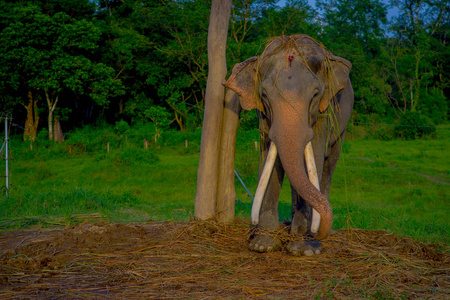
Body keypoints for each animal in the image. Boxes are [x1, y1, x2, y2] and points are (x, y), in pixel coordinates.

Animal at [223, 34, 354, 255]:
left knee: (329, 164)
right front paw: (262, 245)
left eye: (315, 95)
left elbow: (314, 156)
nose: (317, 233)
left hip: (342, 127)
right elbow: (268, 158)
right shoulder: (264, 118)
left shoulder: (323, 115)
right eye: (265, 95)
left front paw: (305, 250)